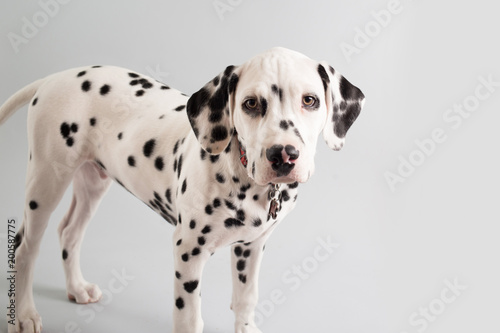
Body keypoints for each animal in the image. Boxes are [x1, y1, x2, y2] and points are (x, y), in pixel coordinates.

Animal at [1, 47, 366, 332]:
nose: (283, 155)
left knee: (69, 232)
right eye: (250, 104)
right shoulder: (188, 251)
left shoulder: (251, 247)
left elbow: (246, 300)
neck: (242, 177)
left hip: (92, 182)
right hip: (46, 182)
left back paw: (77, 288)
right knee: (25, 248)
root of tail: (55, 77)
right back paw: (25, 315)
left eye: (310, 100)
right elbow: (189, 318)